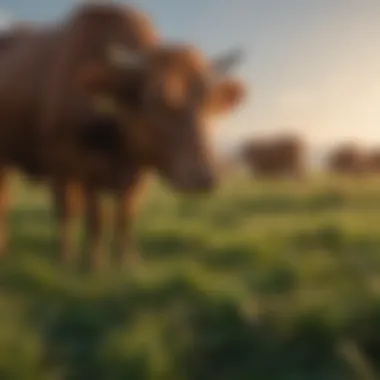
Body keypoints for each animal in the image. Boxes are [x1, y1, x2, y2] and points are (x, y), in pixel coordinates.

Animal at [0, 2, 246, 270]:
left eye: (209, 101)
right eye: (155, 99)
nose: (204, 175)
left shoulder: (140, 172)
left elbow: (125, 216)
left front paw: (129, 260)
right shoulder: (81, 166)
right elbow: (95, 218)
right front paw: (94, 263)